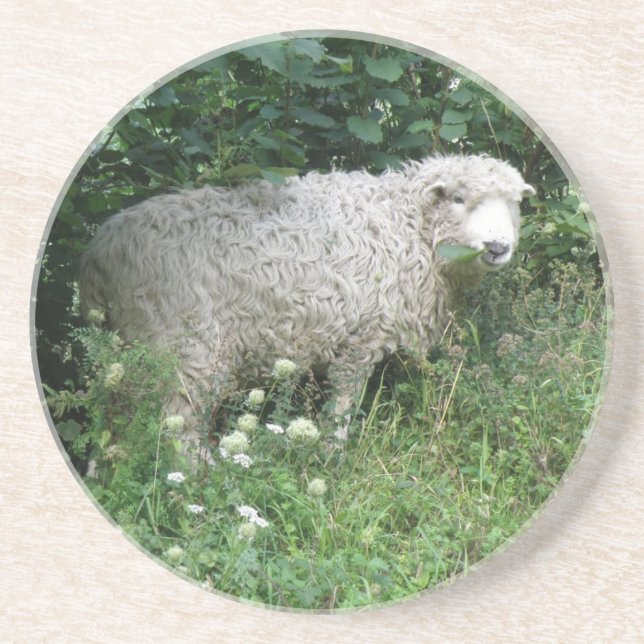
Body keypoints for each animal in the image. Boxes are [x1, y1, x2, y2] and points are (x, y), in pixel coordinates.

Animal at [80, 154, 535, 447]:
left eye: (515, 204)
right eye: (458, 198)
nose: (498, 247)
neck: (406, 225)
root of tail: (99, 253)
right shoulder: (361, 339)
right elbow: (342, 408)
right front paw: (333, 458)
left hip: (123, 351)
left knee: (110, 420)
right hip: (185, 346)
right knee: (177, 425)